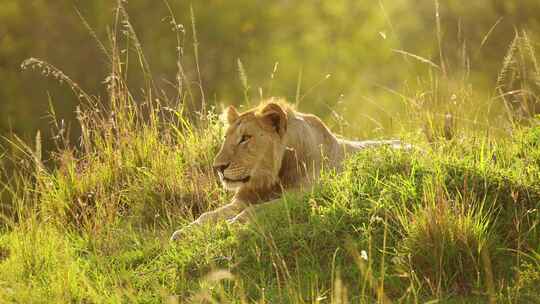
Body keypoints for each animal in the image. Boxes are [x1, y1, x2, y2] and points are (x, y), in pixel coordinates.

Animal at [171, 98, 402, 241]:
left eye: (245, 138)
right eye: (226, 138)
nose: (218, 167)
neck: (273, 178)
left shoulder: (305, 195)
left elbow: (259, 210)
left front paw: (231, 224)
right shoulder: (244, 199)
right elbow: (208, 215)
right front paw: (183, 232)